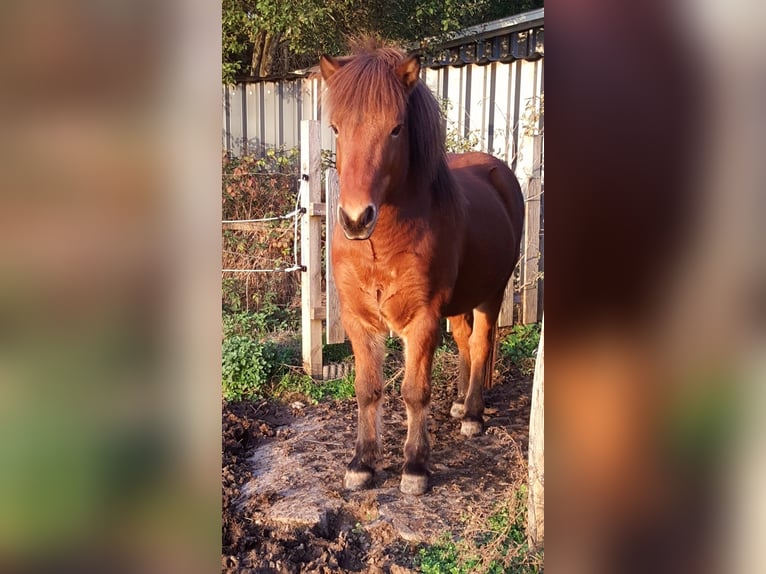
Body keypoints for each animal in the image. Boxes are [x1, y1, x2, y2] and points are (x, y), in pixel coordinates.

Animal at [320, 42, 524, 498]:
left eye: (396, 129)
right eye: (336, 128)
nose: (356, 219)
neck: (380, 245)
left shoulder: (423, 319)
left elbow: (415, 392)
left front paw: (415, 468)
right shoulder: (360, 320)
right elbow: (367, 390)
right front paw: (361, 464)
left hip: (492, 293)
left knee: (481, 344)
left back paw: (473, 415)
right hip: (462, 301)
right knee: (465, 342)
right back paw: (460, 403)